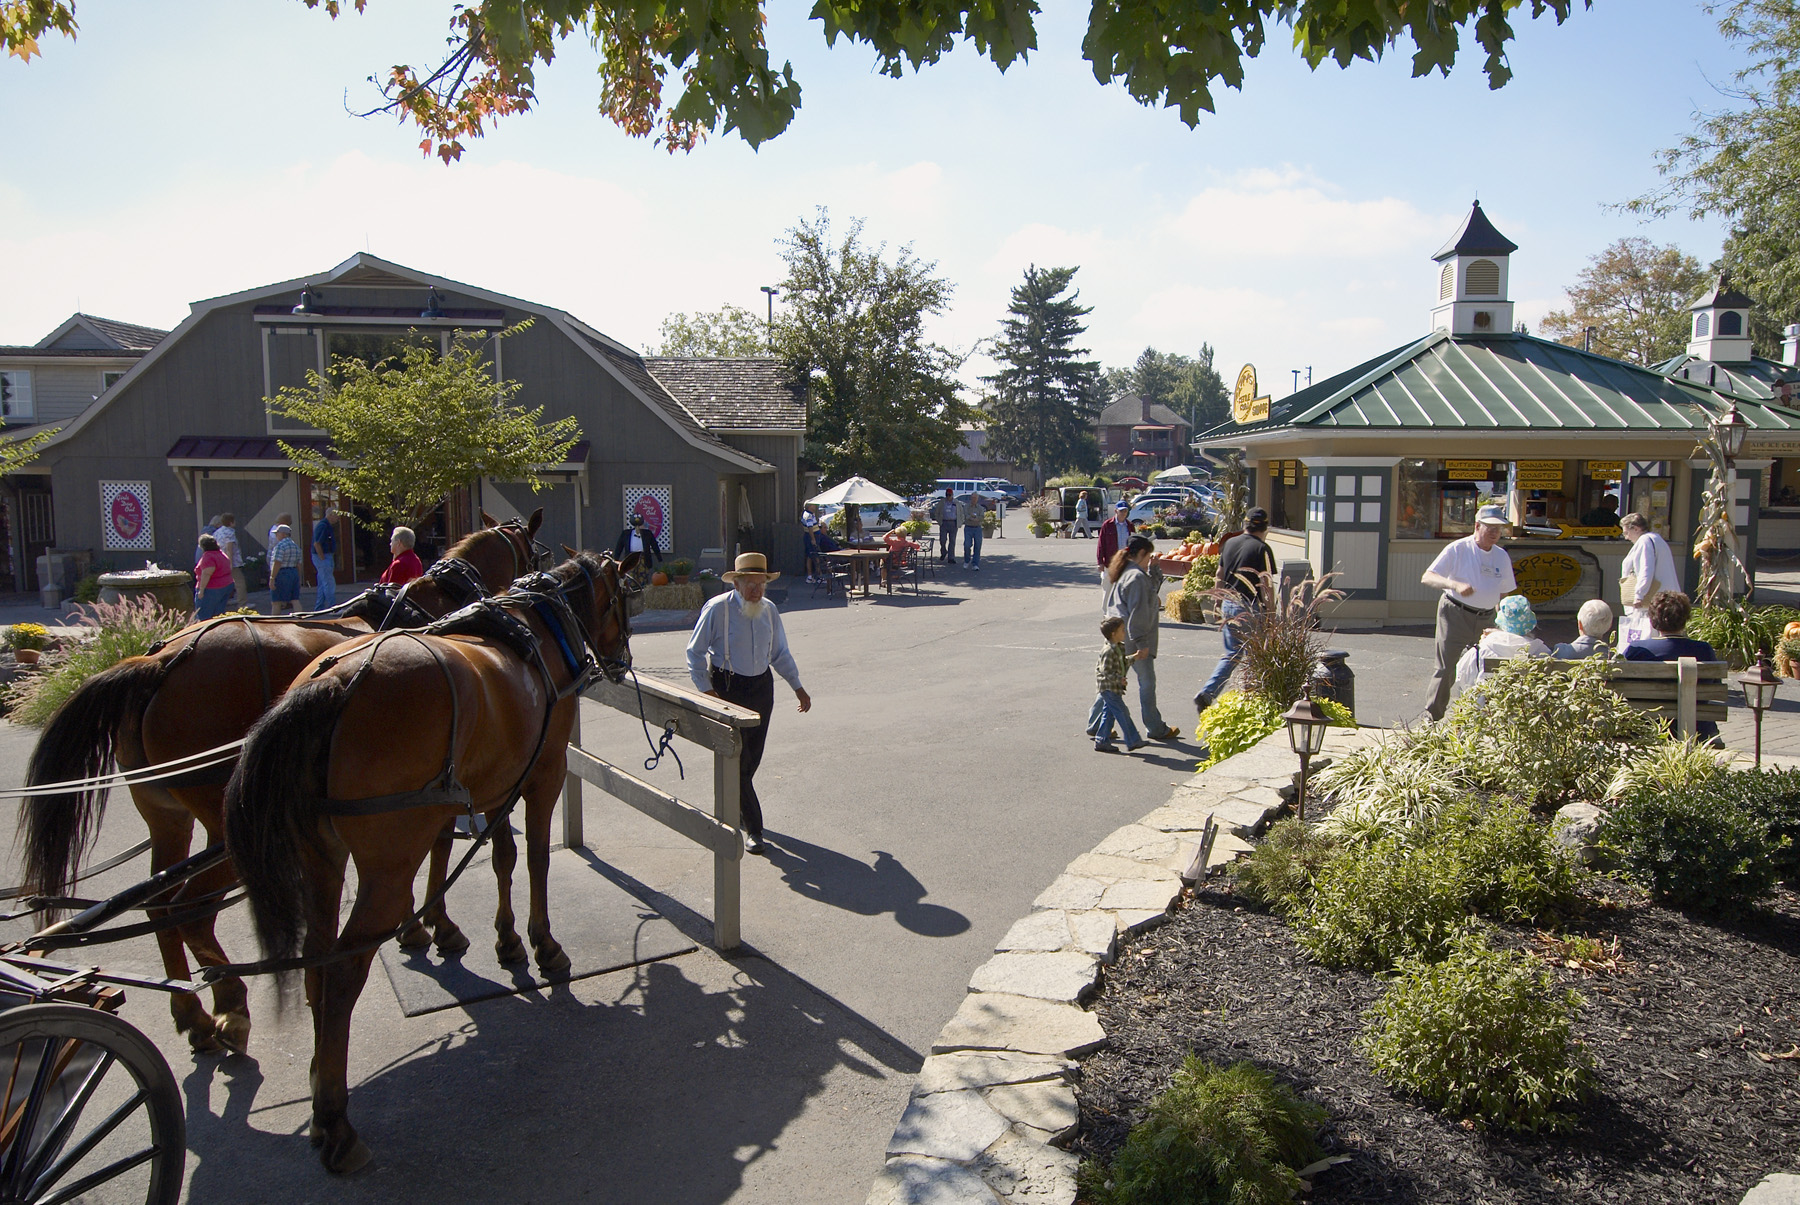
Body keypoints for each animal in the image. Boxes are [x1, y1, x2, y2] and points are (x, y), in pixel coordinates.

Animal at [21, 507, 543, 1051]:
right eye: (534, 553)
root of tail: (160, 661)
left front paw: (416, 928)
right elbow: (437, 848)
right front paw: (434, 928)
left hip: (166, 816)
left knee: (163, 906)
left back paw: (193, 1014)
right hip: (230, 828)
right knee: (192, 910)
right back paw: (230, 1005)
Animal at [223, 551, 633, 1167]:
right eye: (623, 598)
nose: (622, 660)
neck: (534, 627)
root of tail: (331, 684)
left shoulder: (492, 784)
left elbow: (501, 857)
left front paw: (500, 939)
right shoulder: (545, 772)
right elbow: (535, 858)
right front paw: (542, 943)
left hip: (322, 860)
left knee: (319, 959)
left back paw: (321, 1080)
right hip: (388, 867)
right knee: (343, 970)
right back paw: (336, 1123)